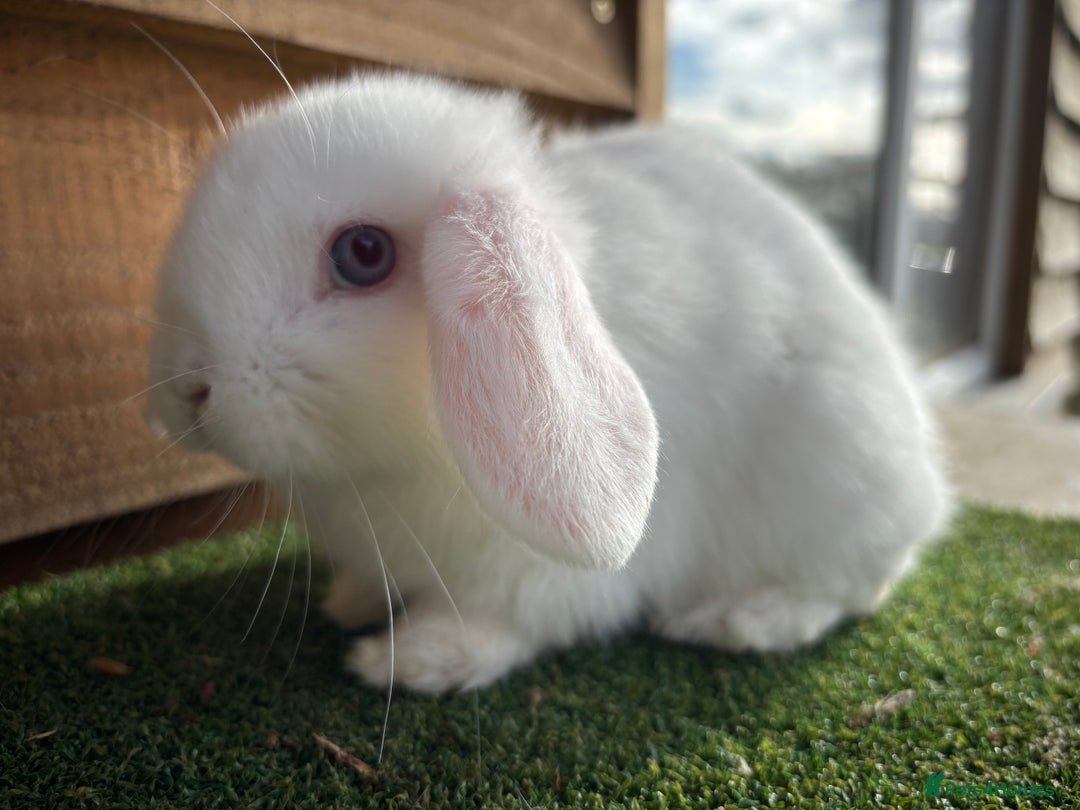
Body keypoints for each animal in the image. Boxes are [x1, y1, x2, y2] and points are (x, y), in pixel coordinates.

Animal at [146, 72, 951, 694]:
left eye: (363, 253)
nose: (187, 391)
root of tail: (926, 497)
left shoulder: (532, 578)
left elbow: (504, 622)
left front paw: (408, 662)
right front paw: (351, 602)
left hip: (835, 474)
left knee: (848, 590)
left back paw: (734, 619)